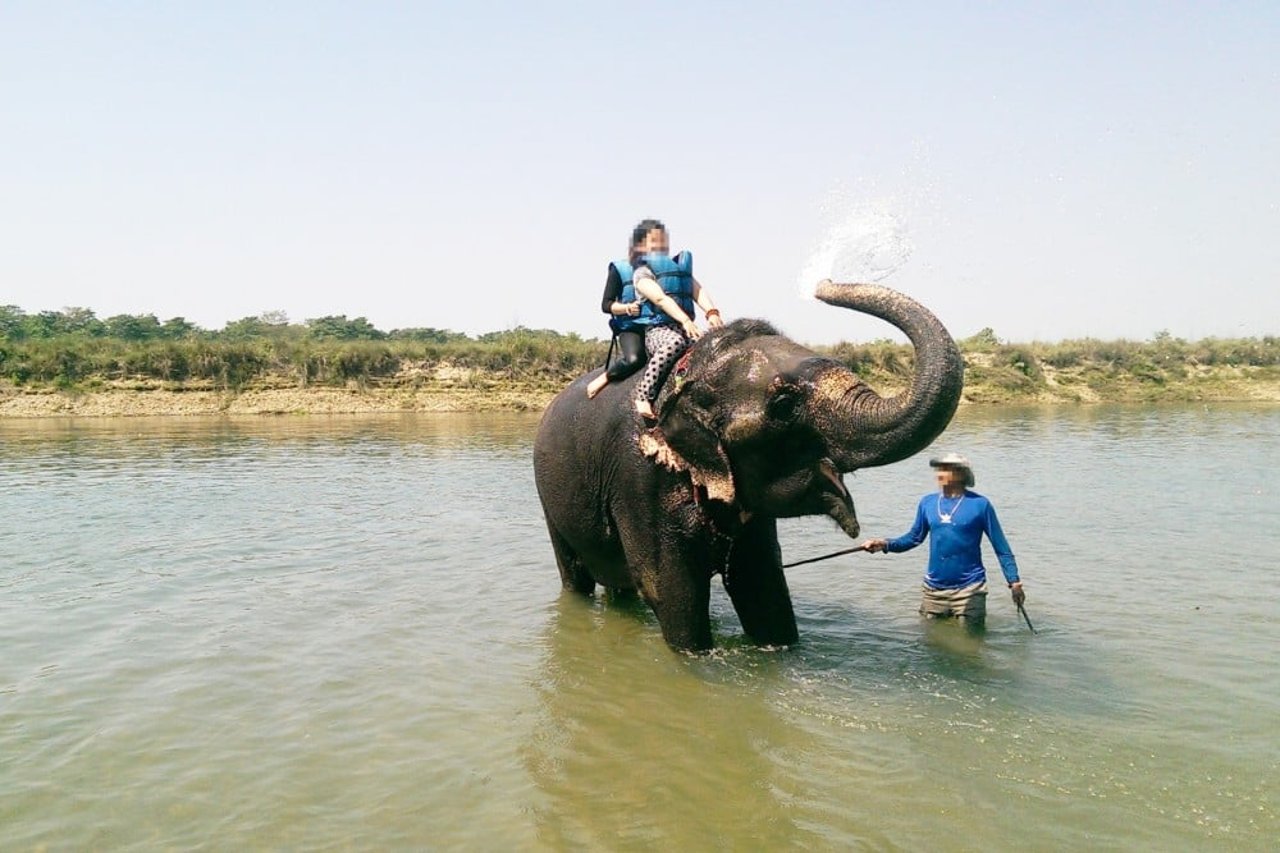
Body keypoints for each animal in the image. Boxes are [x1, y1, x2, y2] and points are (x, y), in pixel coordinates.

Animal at [529, 281, 962, 648]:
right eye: (784, 405)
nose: (822, 286)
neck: (689, 372)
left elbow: (761, 584)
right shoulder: (639, 478)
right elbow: (667, 589)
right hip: (549, 497)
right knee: (576, 574)